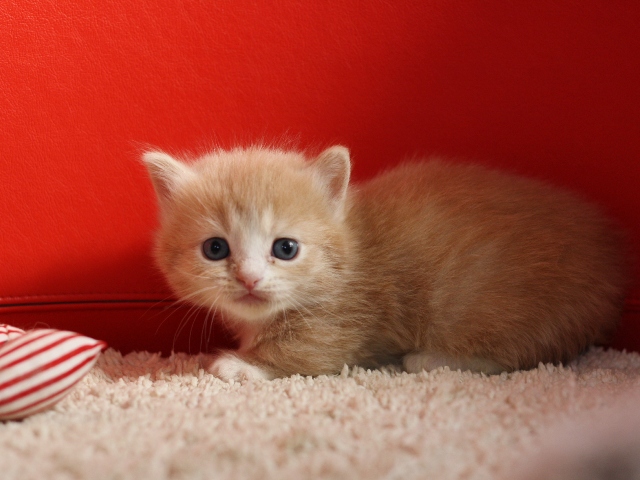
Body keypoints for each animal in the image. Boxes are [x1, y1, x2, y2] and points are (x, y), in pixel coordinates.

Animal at [142, 144, 628, 380]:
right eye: (215, 249)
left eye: (285, 249)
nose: (249, 278)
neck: (351, 247)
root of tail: (608, 263)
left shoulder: (347, 317)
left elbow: (306, 353)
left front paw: (240, 363)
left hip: (485, 304)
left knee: (521, 356)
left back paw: (425, 360)